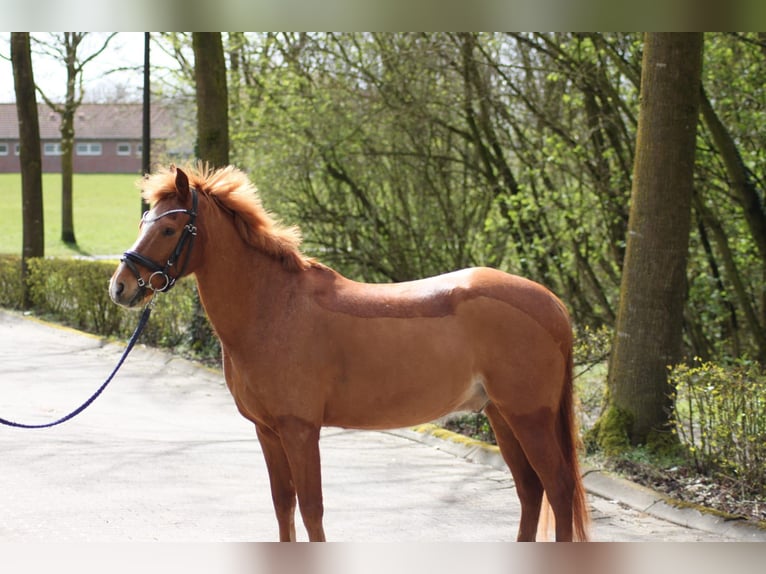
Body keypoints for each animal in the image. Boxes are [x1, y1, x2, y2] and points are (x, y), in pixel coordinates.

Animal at [109, 164, 590, 542]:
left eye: (169, 229)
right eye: (143, 221)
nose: (121, 287)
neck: (274, 306)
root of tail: (552, 304)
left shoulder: (300, 431)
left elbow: (311, 509)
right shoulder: (267, 432)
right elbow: (283, 506)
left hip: (529, 417)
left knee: (558, 488)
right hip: (502, 415)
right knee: (531, 490)